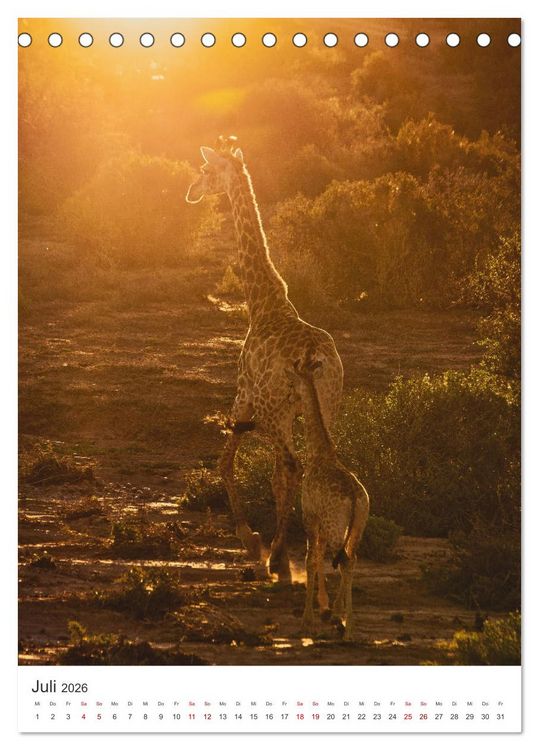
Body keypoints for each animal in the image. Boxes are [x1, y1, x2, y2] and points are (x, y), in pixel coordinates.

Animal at [186, 136, 343, 582]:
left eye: (205, 170)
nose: (192, 191)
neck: (262, 302)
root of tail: (314, 358)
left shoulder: (245, 397)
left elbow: (225, 462)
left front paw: (252, 539)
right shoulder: (285, 411)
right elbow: (269, 475)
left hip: (275, 410)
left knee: (291, 466)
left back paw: (278, 556)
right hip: (327, 405)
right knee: (315, 464)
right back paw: (312, 552)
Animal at [286, 350, 369, 640]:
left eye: (292, 384)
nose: (290, 400)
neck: (319, 452)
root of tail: (355, 498)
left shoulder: (309, 516)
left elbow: (311, 560)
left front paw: (307, 621)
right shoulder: (320, 522)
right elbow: (319, 557)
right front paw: (326, 611)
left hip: (336, 526)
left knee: (343, 560)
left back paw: (347, 628)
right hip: (357, 527)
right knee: (351, 559)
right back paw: (341, 618)